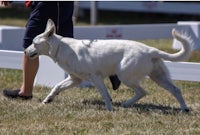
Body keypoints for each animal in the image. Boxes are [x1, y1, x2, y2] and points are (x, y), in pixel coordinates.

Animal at [25, 19, 192, 112]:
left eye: (34, 43)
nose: (25, 51)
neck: (61, 47)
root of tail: (150, 50)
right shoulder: (75, 79)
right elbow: (57, 87)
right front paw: (48, 100)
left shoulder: (96, 77)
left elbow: (105, 94)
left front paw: (109, 110)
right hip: (159, 77)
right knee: (175, 90)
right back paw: (184, 109)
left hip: (126, 76)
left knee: (142, 91)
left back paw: (125, 104)